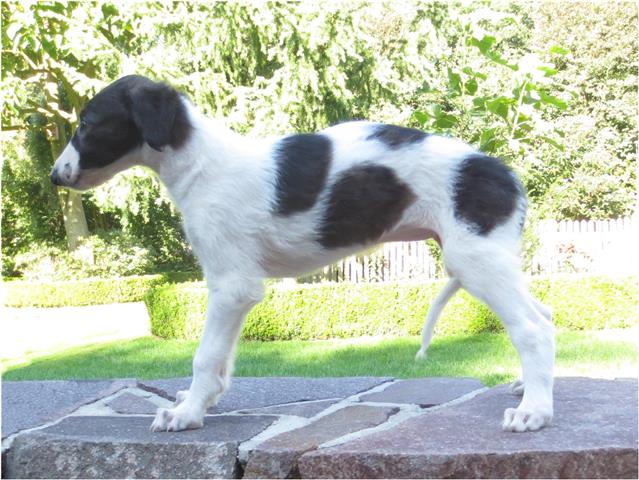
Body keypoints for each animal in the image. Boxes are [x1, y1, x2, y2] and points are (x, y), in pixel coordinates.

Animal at [50, 75, 555, 433]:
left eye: (87, 124)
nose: (56, 176)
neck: (201, 163)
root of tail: (507, 173)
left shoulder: (233, 285)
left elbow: (205, 356)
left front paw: (187, 413)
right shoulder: (231, 287)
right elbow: (222, 360)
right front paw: (203, 401)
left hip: (476, 260)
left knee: (531, 330)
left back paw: (534, 411)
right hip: (489, 259)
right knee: (545, 317)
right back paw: (528, 388)